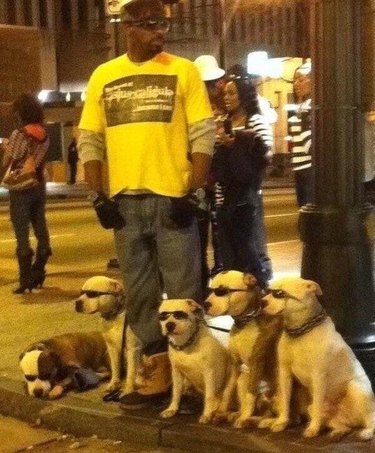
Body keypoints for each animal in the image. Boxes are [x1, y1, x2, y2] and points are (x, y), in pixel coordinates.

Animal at [203, 270, 282, 430]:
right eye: (211, 290)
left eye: (222, 291)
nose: (205, 304)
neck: (245, 322)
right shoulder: (234, 365)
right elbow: (227, 392)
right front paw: (221, 411)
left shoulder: (257, 361)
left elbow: (250, 396)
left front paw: (244, 417)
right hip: (242, 379)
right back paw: (235, 415)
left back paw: (253, 420)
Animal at [262, 278, 375, 440]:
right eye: (268, 291)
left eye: (280, 293)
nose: (261, 302)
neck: (300, 332)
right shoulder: (284, 373)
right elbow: (285, 401)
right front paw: (281, 422)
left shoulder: (318, 376)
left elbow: (317, 404)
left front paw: (313, 428)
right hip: (326, 413)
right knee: (342, 426)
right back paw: (337, 432)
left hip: (356, 389)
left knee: (371, 419)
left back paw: (366, 432)